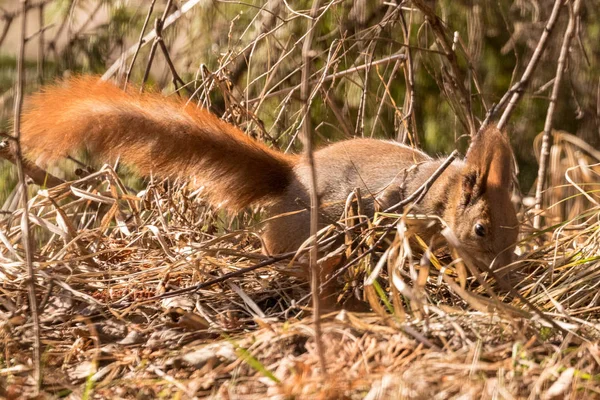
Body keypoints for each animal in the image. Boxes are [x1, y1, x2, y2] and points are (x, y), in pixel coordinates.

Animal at [21, 75, 516, 268]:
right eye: (481, 229)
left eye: (517, 228)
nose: (504, 272)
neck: (444, 194)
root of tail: (291, 173)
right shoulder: (407, 210)